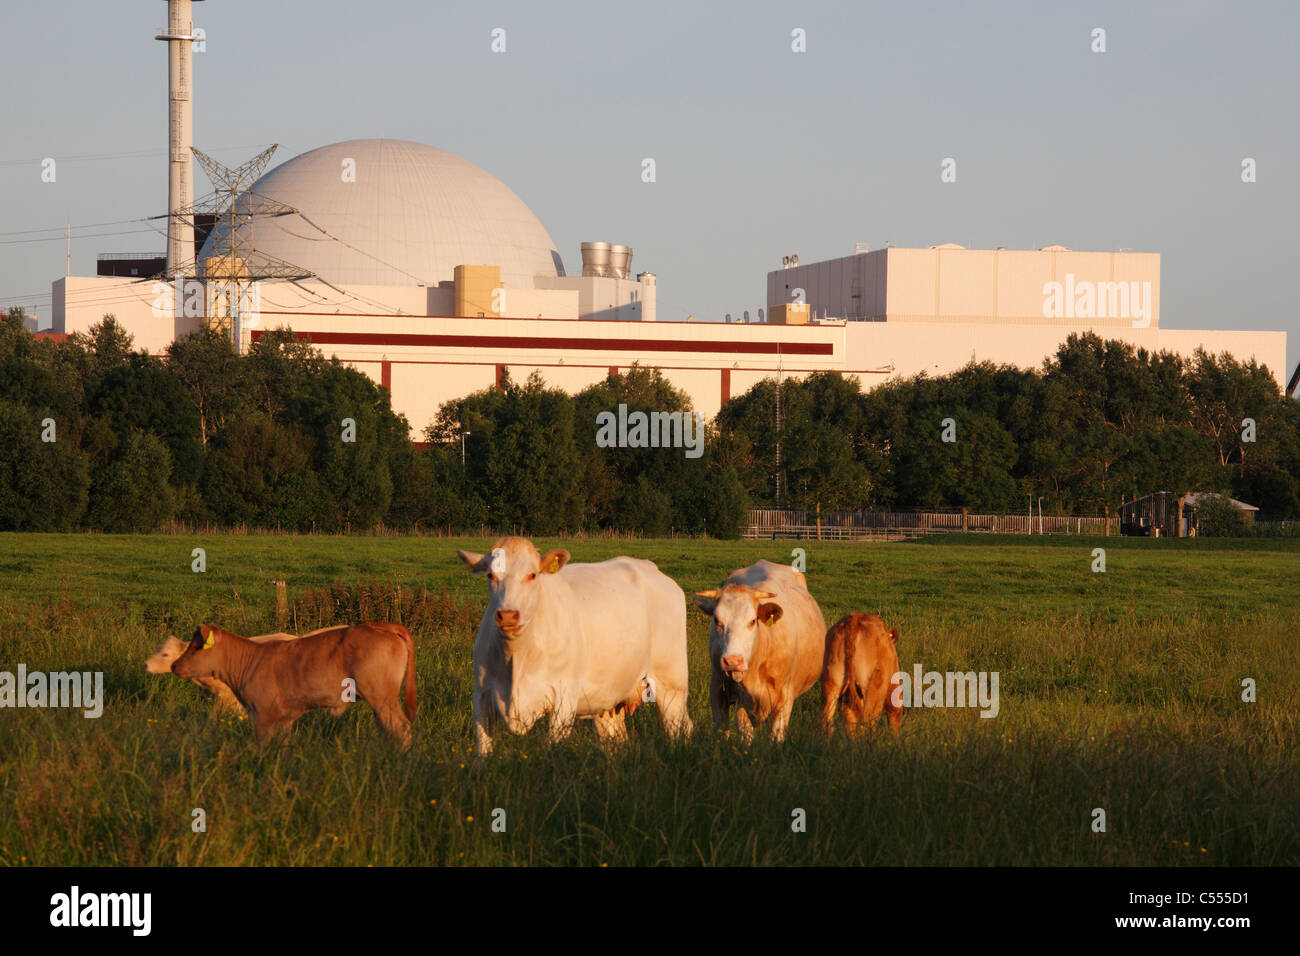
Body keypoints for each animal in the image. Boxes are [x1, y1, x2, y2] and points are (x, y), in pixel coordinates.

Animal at [170, 621, 416, 749]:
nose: (174, 665)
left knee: (400, 727)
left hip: (382, 697)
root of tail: (382, 626)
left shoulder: (262, 715)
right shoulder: (283, 719)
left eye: (197, 646)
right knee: (386, 728)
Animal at [460, 538, 696, 754]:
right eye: (490, 575)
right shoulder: (481, 695)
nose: (508, 615)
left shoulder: (563, 698)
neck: (516, 658)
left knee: (680, 727)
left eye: (532, 575)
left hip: (672, 683)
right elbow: (484, 749)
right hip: (608, 697)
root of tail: (649, 566)